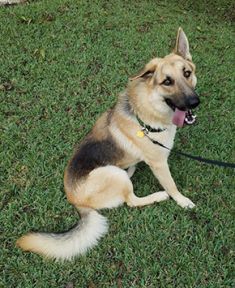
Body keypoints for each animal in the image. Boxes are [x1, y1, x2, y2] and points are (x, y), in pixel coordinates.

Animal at [16, 27, 200, 260]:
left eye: (187, 73)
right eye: (167, 82)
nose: (194, 102)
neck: (148, 112)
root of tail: (76, 201)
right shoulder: (159, 164)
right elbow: (172, 185)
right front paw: (182, 200)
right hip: (112, 174)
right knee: (131, 200)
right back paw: (157, 195)